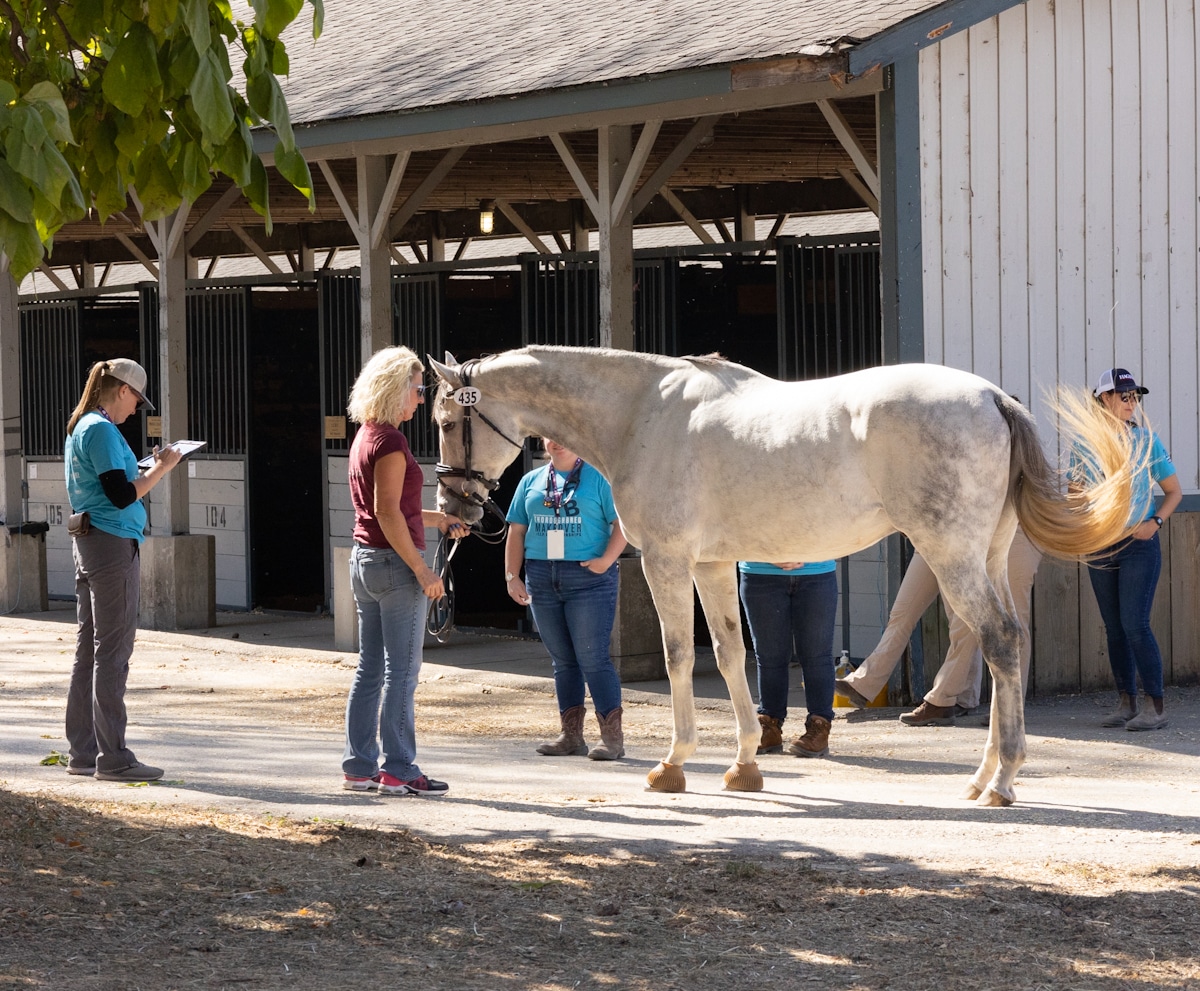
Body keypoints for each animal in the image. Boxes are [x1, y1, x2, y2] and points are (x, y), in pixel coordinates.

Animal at [429, 345, 1132, 801]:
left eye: (445, 421)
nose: (454, 507)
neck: (641, 415)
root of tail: (992, 396)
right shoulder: (713, 565)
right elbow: (733, 656)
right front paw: (744, 767)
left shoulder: (665, 560)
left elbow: (679, 656)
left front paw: (672, 766)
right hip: (987, 554)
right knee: (1007, 640)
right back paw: (985, 775)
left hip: (950, 552)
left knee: (998, 641)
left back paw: (1003, 781)